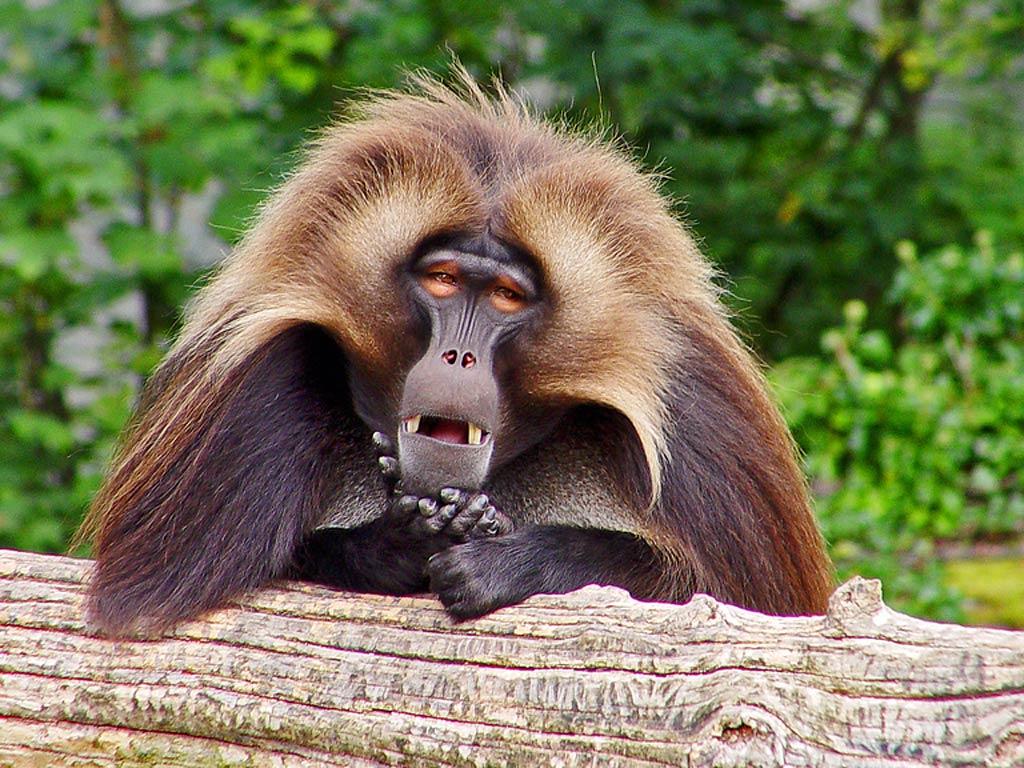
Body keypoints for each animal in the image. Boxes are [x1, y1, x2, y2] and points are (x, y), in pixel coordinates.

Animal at [77, 72, 834, 636]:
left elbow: (738, 611)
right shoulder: (249, 382)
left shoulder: (702, 422)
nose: (458, 359)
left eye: (505, 295)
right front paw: (398, 544)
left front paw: (510, 561)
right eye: (442, 279)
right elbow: (148, 596)